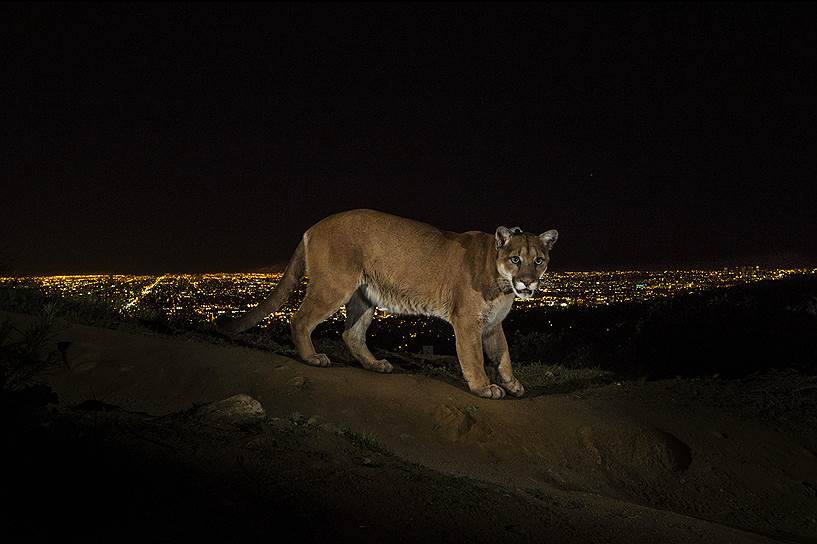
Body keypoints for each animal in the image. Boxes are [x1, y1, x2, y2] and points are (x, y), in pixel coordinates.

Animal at [220, 209, 556, 400]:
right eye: (516, 259)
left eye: (538, 261)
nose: (528, 282)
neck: (502, 283)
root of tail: (313, 227)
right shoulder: (468, 322)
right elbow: (474, 358)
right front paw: (484, 388)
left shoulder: (491, 323)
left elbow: (504, 355)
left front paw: (513, 385)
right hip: (334, 286)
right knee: (300, 319)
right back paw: (312, 357)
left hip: (365, 296)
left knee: (351, 334)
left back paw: (375, 365)